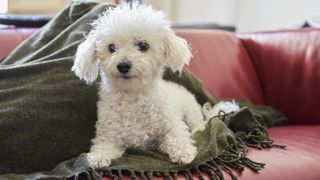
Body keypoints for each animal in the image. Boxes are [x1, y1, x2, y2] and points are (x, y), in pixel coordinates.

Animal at [71, 3, 214, 169]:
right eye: (111, 47)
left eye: (143, 45)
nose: (123, 65)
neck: (133, 95)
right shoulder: (109, 135)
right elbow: (103, 146)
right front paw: (98, 158)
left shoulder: (172, 125)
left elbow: (177, 136)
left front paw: (183, 153)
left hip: (191, 110)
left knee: (197, 122)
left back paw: (199, 128)